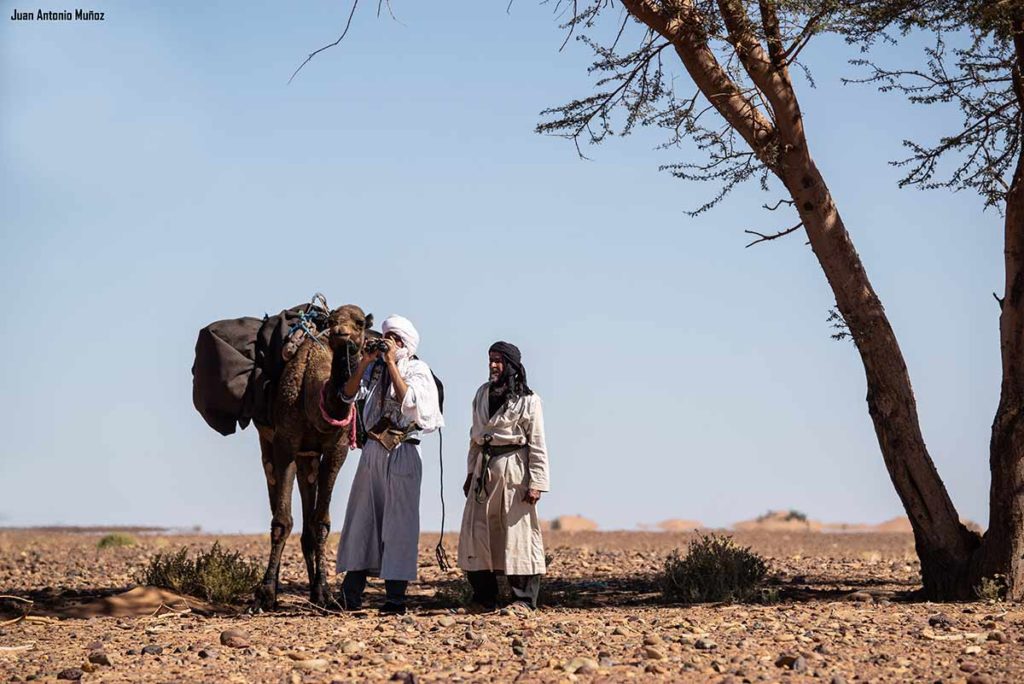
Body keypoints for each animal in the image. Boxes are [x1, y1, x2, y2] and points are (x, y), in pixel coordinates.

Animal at [250, 305, 372, 610]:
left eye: (360, 322)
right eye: (333, 320)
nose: (341, 334)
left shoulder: (336, 448)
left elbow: (321, 522)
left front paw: (324, 592)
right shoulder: (285, 443)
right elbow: (281, 521)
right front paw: (265, 593)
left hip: (309, 457)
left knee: (308, 514)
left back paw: (313, 591)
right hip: (269, 444)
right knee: (276, 492)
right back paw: (277, 588)